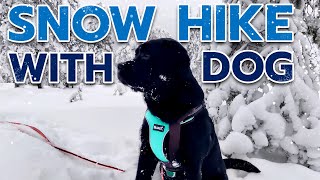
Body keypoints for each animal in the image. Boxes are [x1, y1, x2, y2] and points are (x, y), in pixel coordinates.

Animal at [117, 38, 260, 179]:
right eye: (136, 54)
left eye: (146, 55)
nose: (118, 66)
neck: (166, 108)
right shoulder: (146, 152)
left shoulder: (192, 164)